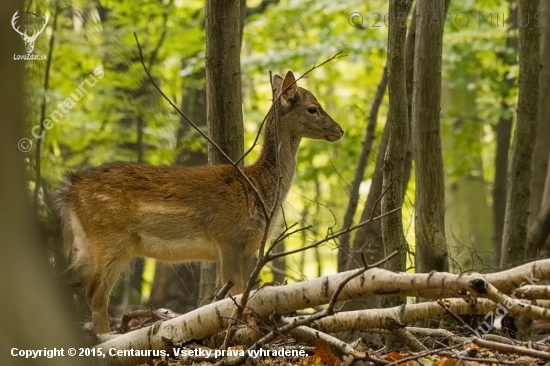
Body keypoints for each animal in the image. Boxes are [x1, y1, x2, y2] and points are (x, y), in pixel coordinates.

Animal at [54, 72, 342, 334]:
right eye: (312, 108)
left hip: (88, 245)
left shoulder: (247, 248)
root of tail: (70, 189)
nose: (340, 129)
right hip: (109, 239)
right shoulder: (228, 237)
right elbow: (235, 294)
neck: (258, 189)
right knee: (95, 295)